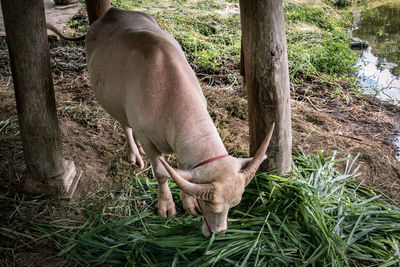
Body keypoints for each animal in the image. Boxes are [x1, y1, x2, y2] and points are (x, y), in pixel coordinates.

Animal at [50, 6, 276, 238]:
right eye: (211, 207)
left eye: (234, 204)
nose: (218, 233)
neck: (171, 95)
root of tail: (113, 11)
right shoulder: (149, 140)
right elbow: (161, 173)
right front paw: (166, 205)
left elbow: (182, 172)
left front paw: (188, 203)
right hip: (115, 105)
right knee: (125, 125)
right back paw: (134, 153)